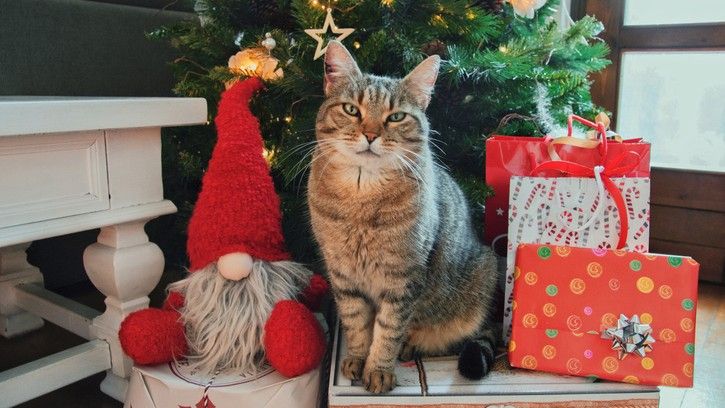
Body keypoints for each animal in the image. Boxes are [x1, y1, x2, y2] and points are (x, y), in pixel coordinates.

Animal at [306, 40, 498, 392]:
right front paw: (356, 359)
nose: (370, 134)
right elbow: (356, 323)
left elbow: (388, 330)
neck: (362, 197)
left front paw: (379, 370)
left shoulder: (403, 279)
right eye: (351, 110)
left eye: (396, 117)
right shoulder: (343, 275)